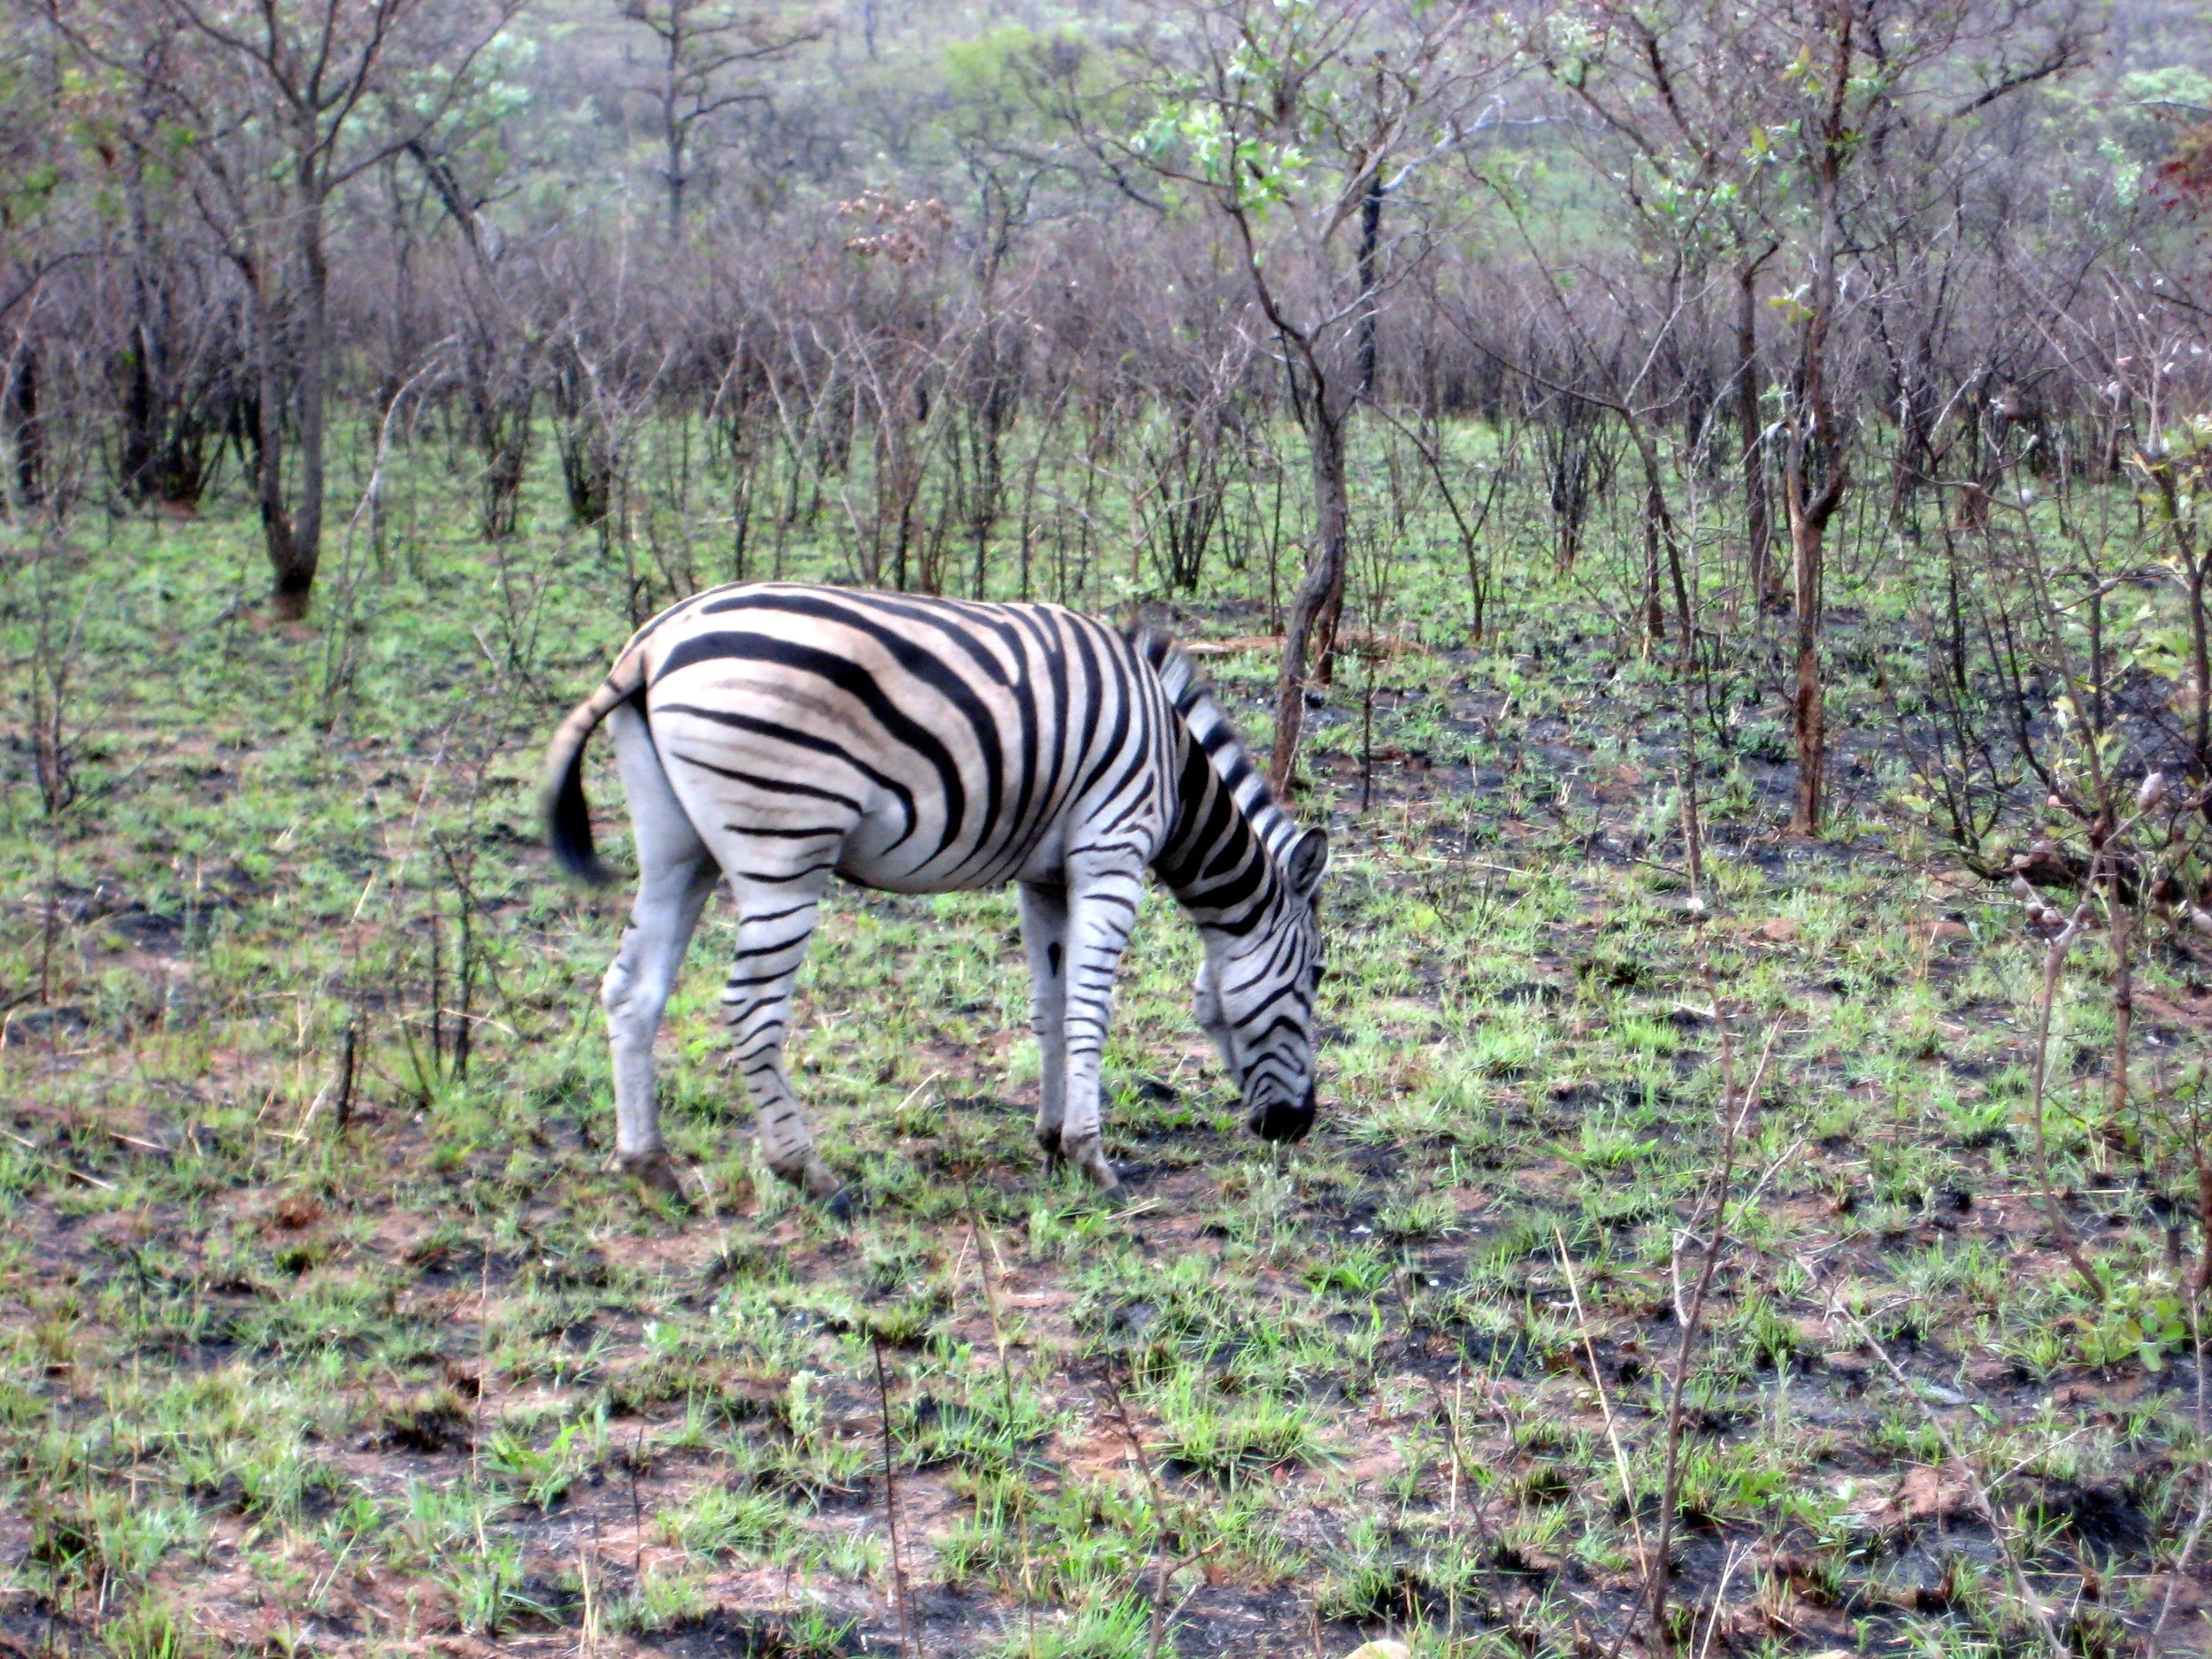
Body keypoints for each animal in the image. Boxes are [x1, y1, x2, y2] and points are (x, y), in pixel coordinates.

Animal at [541, 582, 1329, 1203]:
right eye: (1317, 977)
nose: (1299, 1127)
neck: (1173, 767)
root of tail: (650, 645)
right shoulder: (1111, 851)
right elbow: (1089, 1008)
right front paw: (1091, 1157)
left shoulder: (1044, 875)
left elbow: (1047, 1006)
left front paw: (1050, 1139)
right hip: (785, 847)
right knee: (749, 1007)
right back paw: (807, 1172)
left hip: (676, 849)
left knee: (632, 990)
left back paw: (649, 1165)